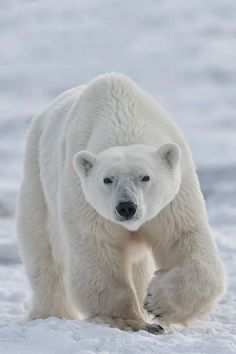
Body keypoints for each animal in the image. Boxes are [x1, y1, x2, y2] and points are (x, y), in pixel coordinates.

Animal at [17, 73, 227, 334]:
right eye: (107, 179)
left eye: (145, 177)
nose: (127, 207)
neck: (122, 120)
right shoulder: (84, 199)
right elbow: (97, 250)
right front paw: (130, 320)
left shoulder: (173, 202)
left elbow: (184, 240)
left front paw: (156, 303)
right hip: (37, 178)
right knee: (43, 248)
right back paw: (50, 313)